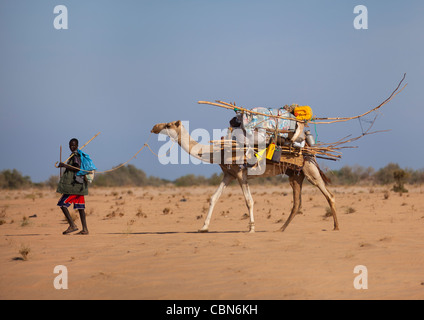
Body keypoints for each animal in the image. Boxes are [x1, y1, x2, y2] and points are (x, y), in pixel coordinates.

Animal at [151, 120, 340, 232]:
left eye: (168, 125)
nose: (154, 127)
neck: (217, 151)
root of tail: (309, 148)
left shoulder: (241, 173)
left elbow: (249, 201)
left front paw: (251, 228)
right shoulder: (229, 174)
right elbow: (213, 198)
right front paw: (203, 227)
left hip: (309, 169)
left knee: (329, 195)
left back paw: (336, 227)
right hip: (295, 175)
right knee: (297, 203)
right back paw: (281, 229)